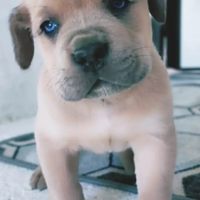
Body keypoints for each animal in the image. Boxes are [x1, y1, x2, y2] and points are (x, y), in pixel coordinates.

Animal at [9, 0, 177, 200]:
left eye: (119, 3)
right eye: (48, 26)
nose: (89, 53)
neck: (102, 101)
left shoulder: (154, 142)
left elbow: (154, 189)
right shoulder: (56, 149)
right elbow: (65, 189)